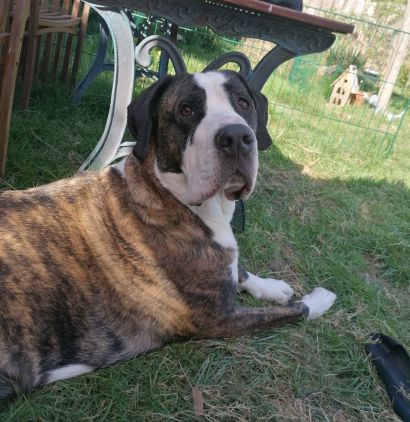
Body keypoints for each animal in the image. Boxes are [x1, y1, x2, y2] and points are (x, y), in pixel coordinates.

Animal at [0, 70, 336, 399]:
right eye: (186, 110)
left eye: (243, 103)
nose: (237, 137)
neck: (167, 194)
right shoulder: (219, 318)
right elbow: (293, 311)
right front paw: (319, 299)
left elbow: (240, 271)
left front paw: (271, 286)